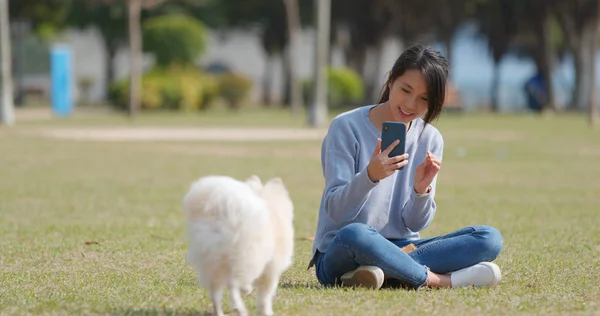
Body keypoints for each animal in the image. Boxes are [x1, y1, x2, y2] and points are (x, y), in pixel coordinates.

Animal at [183, 175, 296, 316]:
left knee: (215, 293)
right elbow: (265, 296)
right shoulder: (271, 270)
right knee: (233, 285)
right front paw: (266, 311)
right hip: (247, 257)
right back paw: (240, 306)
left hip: (211, 261)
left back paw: (221, 312)